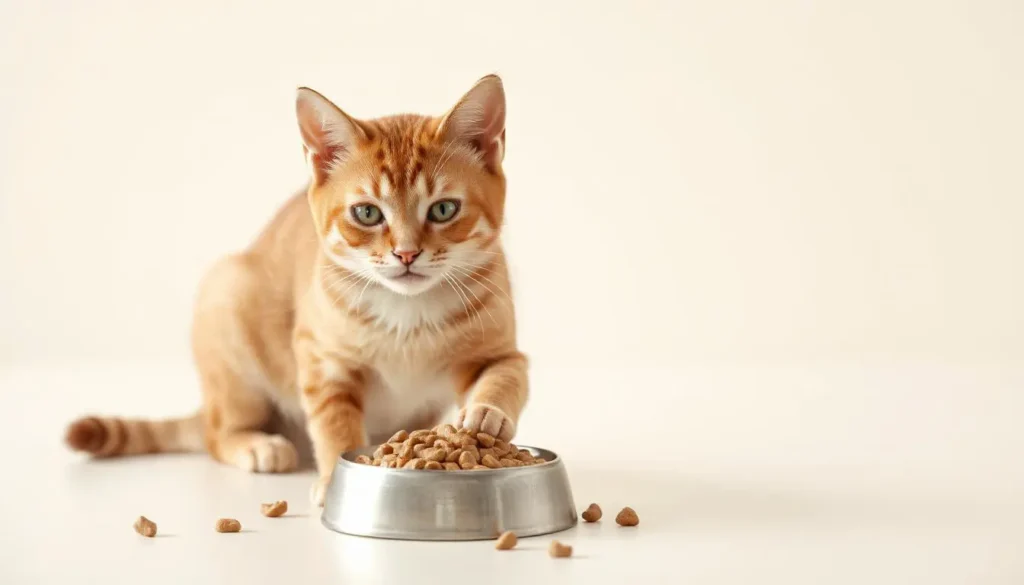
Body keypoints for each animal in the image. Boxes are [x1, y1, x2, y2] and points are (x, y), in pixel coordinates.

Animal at [64, 74, 528, 504]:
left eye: (444, 209)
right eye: (367, 213)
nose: (407, 253)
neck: (408, 315)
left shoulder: (500, 351)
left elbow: (506, 378)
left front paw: (486, 412)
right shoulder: (323, 359)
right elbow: (333, 422)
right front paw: (334, 477)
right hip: (227, 303)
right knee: (216, 433)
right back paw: (257, 445)